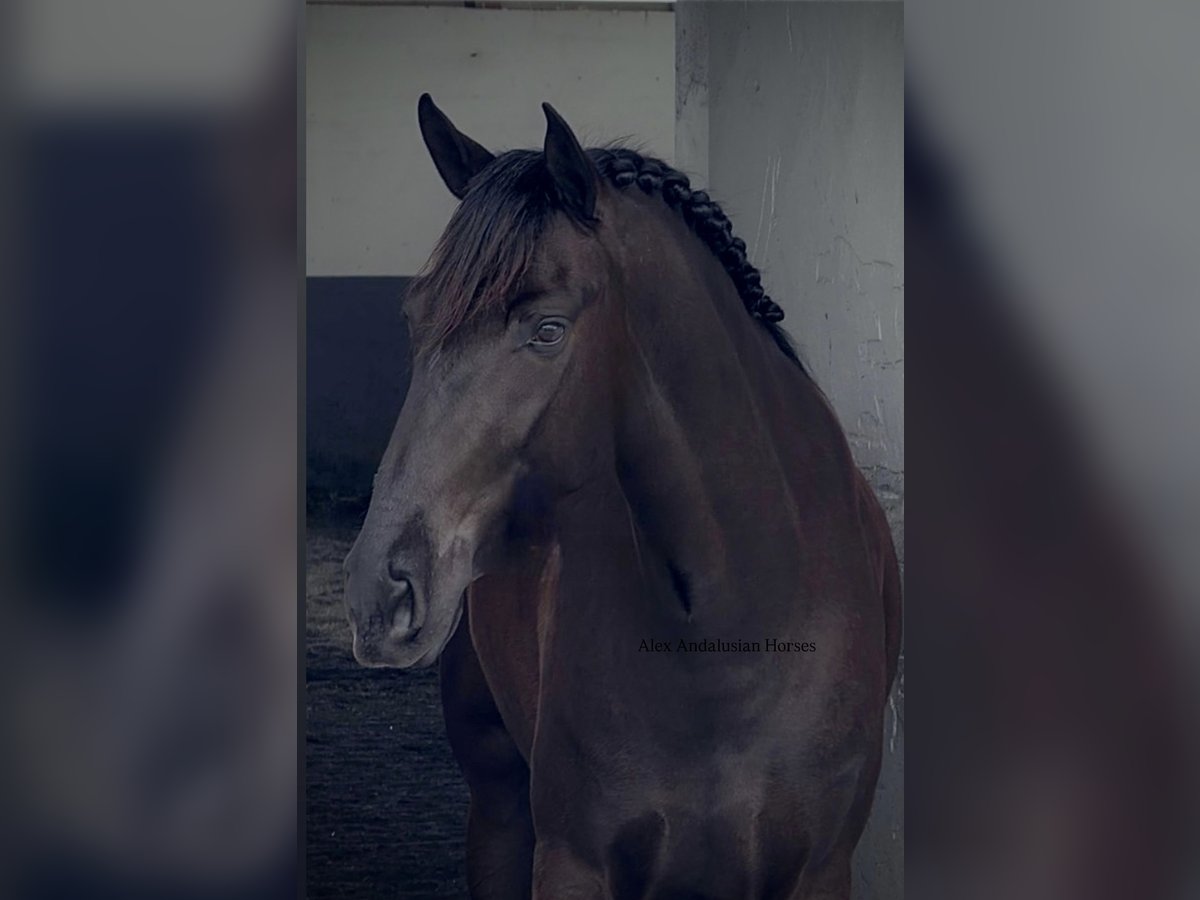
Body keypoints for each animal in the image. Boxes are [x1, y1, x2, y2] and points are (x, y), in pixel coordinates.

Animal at [343, 94, 901, 900]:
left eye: (547, 330)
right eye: (414, 318)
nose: (377, 591)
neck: (727, 637)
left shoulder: (820, 871)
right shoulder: (572, 862)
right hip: (498, 813)